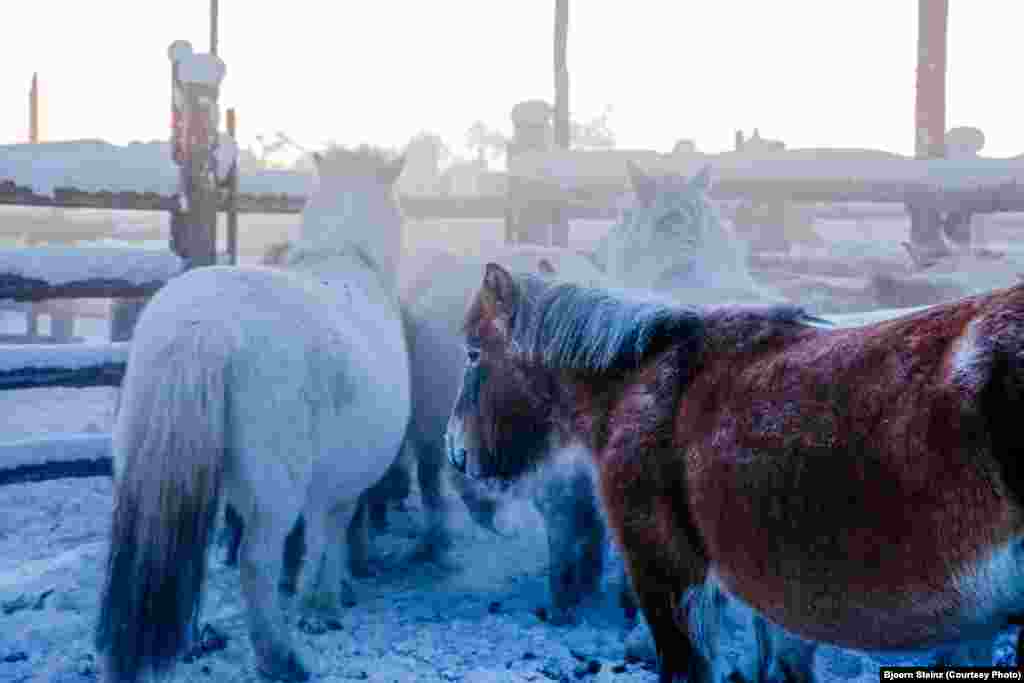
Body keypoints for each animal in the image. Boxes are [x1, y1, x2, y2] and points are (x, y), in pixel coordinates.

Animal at [96, 145, 411, 683]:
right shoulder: (342, 483)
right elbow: (329, 536)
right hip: (273, 491)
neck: (347, 259)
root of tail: (201, 327)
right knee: (255, 563)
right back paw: (280, 659)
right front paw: (323, 605)